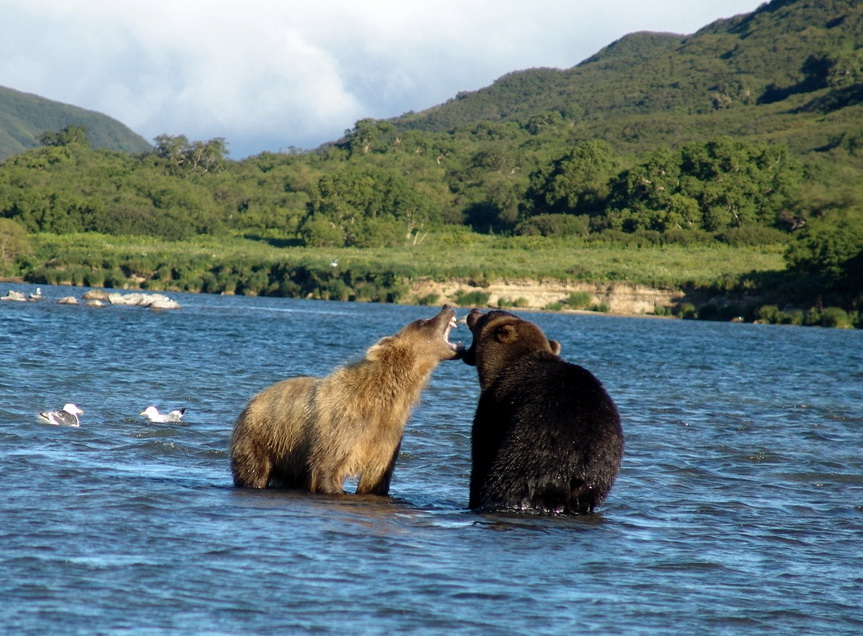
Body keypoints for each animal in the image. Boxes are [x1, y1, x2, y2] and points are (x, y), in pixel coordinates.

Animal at [228, 306, 460, 494]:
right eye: (422, 322)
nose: (446, 306)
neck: (382, 398)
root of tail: (252, 399)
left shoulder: (386, 434)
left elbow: (376, 476)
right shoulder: (341, 426)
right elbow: (327, 467)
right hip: (262, 436)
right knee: (254, 470)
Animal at [462, 310, 624, 516]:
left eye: (488, 314)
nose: (473, 311)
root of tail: (577, 470)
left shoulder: (495, 404)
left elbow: (482, 449)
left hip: (528, 455)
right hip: (601, 471)